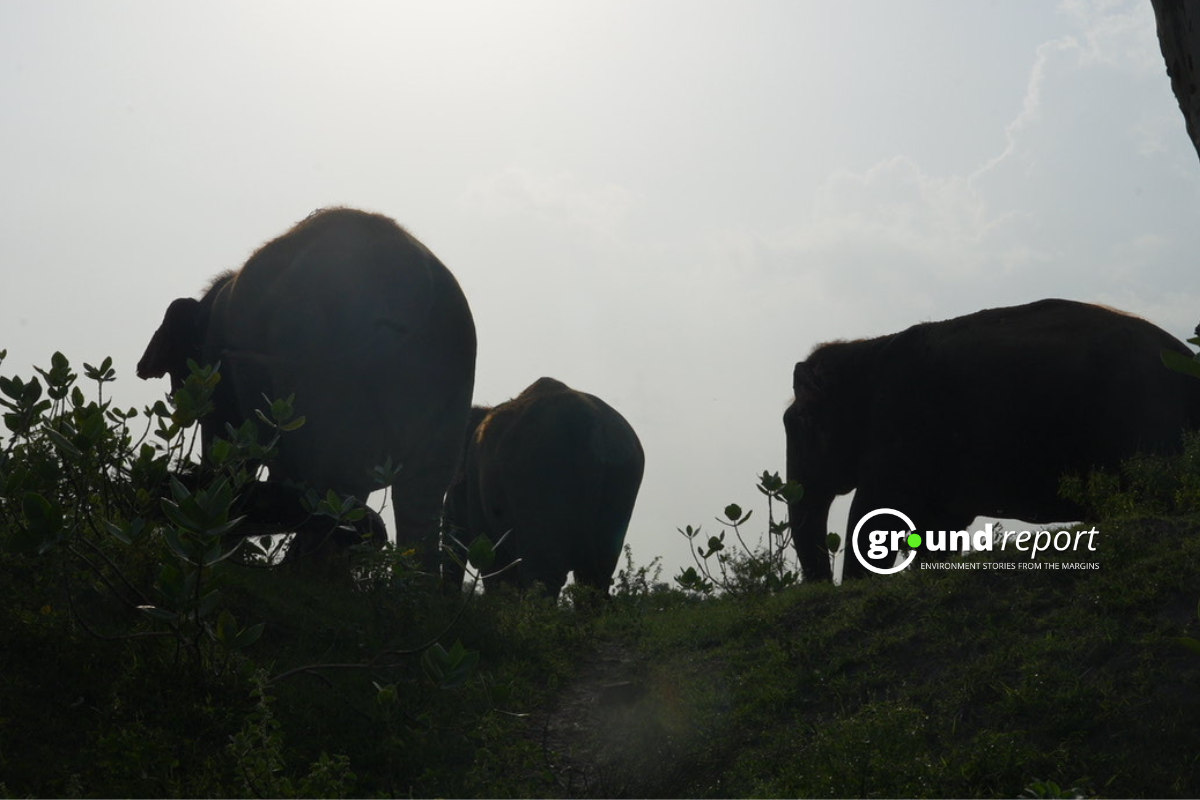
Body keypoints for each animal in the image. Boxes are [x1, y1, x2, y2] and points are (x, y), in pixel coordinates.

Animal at [138, 207, 477, 567]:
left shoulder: (222, 362)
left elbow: (233, 445)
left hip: (322, 363)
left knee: (335, 479)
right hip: (448, 383)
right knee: (421, 495)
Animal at [443, 377, 645, 599]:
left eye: (453, 484)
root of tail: (586, 420)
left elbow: (496, 565)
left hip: (538, 471)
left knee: (545, 571)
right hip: (622, 478)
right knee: (597, 573)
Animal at [784, 298, 1200, 582]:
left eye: (797, 422)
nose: (823, 587)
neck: (868, 349)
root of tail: (1186, 358)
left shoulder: (898, 423)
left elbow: (873, 515)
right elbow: (937, 529)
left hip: (1143, 416)